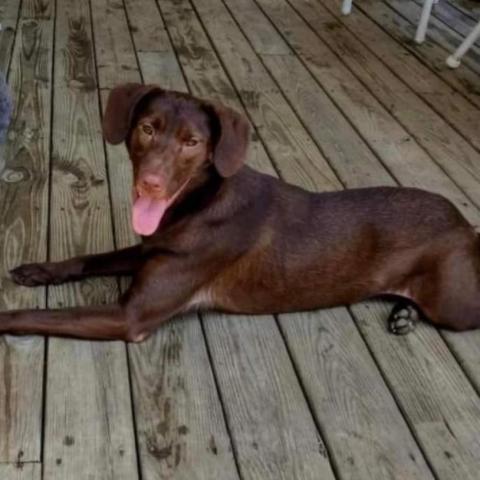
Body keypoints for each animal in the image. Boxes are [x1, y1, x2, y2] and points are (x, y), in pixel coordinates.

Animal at [0, 84, 480, 342]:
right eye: (147, 128)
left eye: (192, 142)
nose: (150, 184)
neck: (198, 204)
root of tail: (462, 221)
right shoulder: (152, 249)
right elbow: (91, 258)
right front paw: (39, 270)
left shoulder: (129, 316)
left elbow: (37, 315)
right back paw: (404, 313)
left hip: (455, 304)